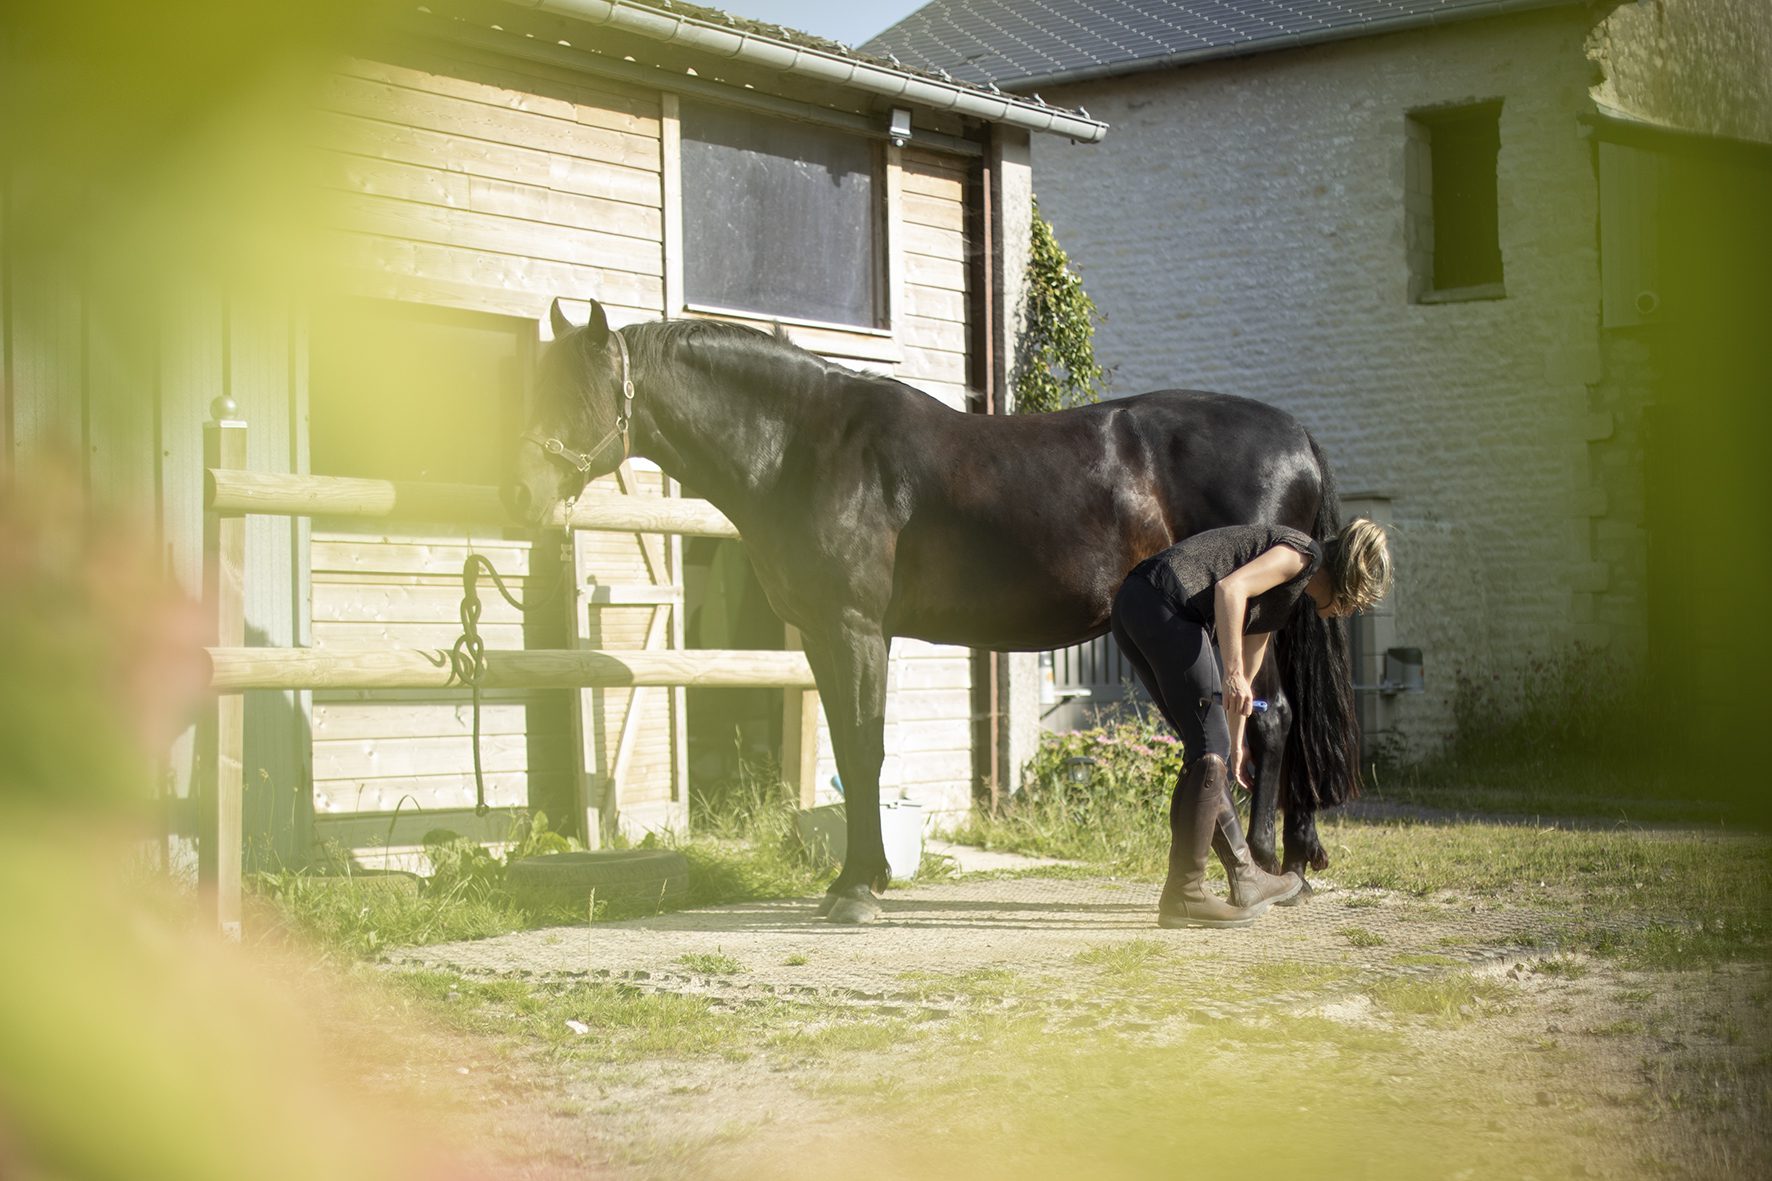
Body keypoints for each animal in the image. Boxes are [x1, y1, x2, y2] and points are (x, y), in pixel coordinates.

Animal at [505, 298, 1357, 923]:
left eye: (575, 393)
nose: (523, 497)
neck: (805, 445)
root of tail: (1298, 435)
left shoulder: (855, 629)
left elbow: (863, 749)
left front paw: (858, 887)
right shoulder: (822, 635)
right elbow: (852, 748)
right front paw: (857, 878)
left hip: (1249, 619)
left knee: (1263, 721)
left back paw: (1265, 865)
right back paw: (1274, 865)